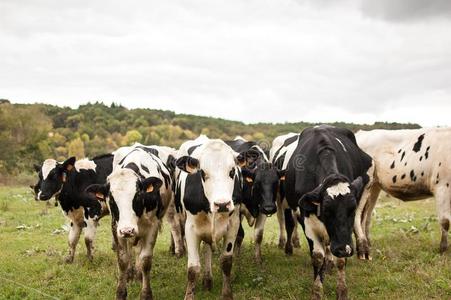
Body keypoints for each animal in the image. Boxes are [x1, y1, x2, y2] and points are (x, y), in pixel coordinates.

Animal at [86, 148, 173, 300]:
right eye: (111, 199)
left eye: (138, 195)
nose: (127, 230)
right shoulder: (116, 227)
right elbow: (122, 260)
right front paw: (121, 291)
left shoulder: (152, 227)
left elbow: (145, 261)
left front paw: (146, 294)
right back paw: (131, 274)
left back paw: (137, 274)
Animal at [175, 137, 242, 300]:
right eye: (203, 173)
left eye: (232, 171)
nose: (222, 204)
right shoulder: (190, 228)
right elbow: (193, 269)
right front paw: (189, 296)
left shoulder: (234, 224)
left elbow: (226, 262)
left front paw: (227, 294)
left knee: (207, 249)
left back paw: (207, 280)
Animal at [284, 126, 372, 300]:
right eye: (326, 209)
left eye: (352, 209)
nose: (343, 249)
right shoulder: (307, 220)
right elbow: (318, 257)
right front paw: (317, 292)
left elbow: (341, 261)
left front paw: (342, 291)